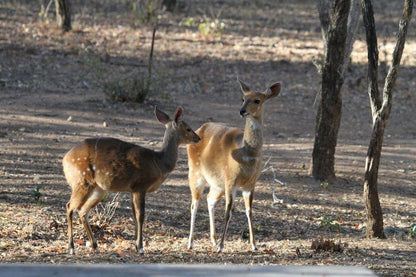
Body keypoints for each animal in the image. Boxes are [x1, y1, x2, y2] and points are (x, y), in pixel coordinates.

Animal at [62, 106, 202, 254]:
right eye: (188, 128)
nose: (198, 138)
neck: (159, 162)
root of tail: (65, 160)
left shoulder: (132, 189)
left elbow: (134, 215)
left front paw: (136, 245)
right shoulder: (141, 185)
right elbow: (141, 215)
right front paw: (140, 247)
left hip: (99, 189)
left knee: (82, 211)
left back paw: (95, 246)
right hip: (82, 181)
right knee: (69, 206)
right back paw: (71, 248)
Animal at [187, 78, 282, 251]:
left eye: (257, 100)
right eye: (242, 99)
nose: (242, 111)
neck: (247, 155)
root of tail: (199, 129)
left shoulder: (250, 183)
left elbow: (249, 211)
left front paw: (254, 245)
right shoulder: (230, 179)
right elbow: (228, 211)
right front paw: (221, 247)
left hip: (217, 183)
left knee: (209, 199)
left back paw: (213, 240)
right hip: (195, 172)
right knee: (194, 204)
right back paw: (191, 243)